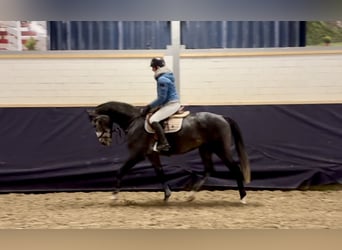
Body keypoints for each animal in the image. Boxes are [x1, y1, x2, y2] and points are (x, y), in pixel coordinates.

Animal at [87, 101, 250, 203]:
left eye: (96, 123)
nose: (103, 142)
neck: (134, 121)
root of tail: (222, 117)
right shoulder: (152, 155)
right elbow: (160, 172)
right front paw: (167, 196)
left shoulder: (137, 155)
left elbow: (120, 171)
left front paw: (114, 196)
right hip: (205, 149)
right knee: (209, 169)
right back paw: (191, 195)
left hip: (220, 149)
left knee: (235, 169)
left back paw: (243, 197)